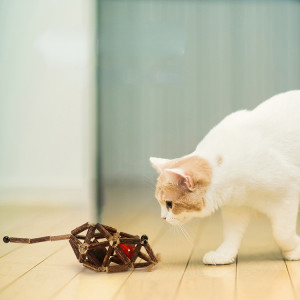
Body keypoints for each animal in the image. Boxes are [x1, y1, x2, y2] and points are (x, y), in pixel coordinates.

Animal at [150, 91, 300, 264]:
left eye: (169, 204)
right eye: (160, 203)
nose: (162, 218)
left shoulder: (287, 195)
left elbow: (281, 233)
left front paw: (295, 250)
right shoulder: (236, 207)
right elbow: (231, 235)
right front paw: (223, 255)